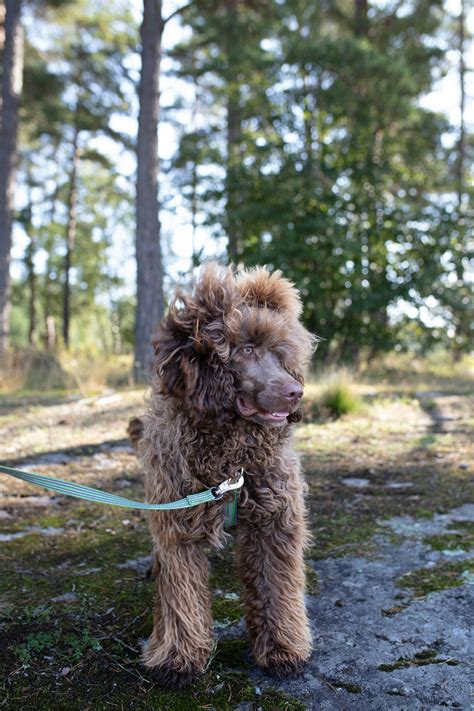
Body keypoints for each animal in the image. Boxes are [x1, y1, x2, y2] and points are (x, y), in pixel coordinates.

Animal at [128, 262, 316, 688]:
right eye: (246, 349)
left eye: (280, 353)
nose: (295, 392)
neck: (232, 459)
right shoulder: (179, 523)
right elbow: (181, 592)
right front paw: (178, 659)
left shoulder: (273, 521)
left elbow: (277, 586)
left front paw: (282, 649)